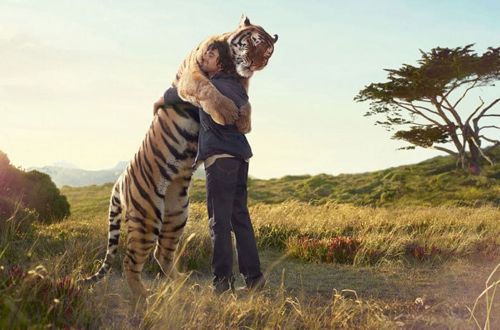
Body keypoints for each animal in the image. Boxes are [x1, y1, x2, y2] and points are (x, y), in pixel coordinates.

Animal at [81, 16, 278, 300]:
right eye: (253, 42)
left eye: (268, 52)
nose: (257, 63)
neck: (231, 68)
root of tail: (119, 181)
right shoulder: (191, 76)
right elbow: (208, 89)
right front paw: (227, 113)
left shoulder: (242, 86)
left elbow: (247, 102)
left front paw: (243, 121)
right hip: (148, 217)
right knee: (131, 261)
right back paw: (145, 296)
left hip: (176, 214)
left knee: (161, 253)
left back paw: (183, 285)